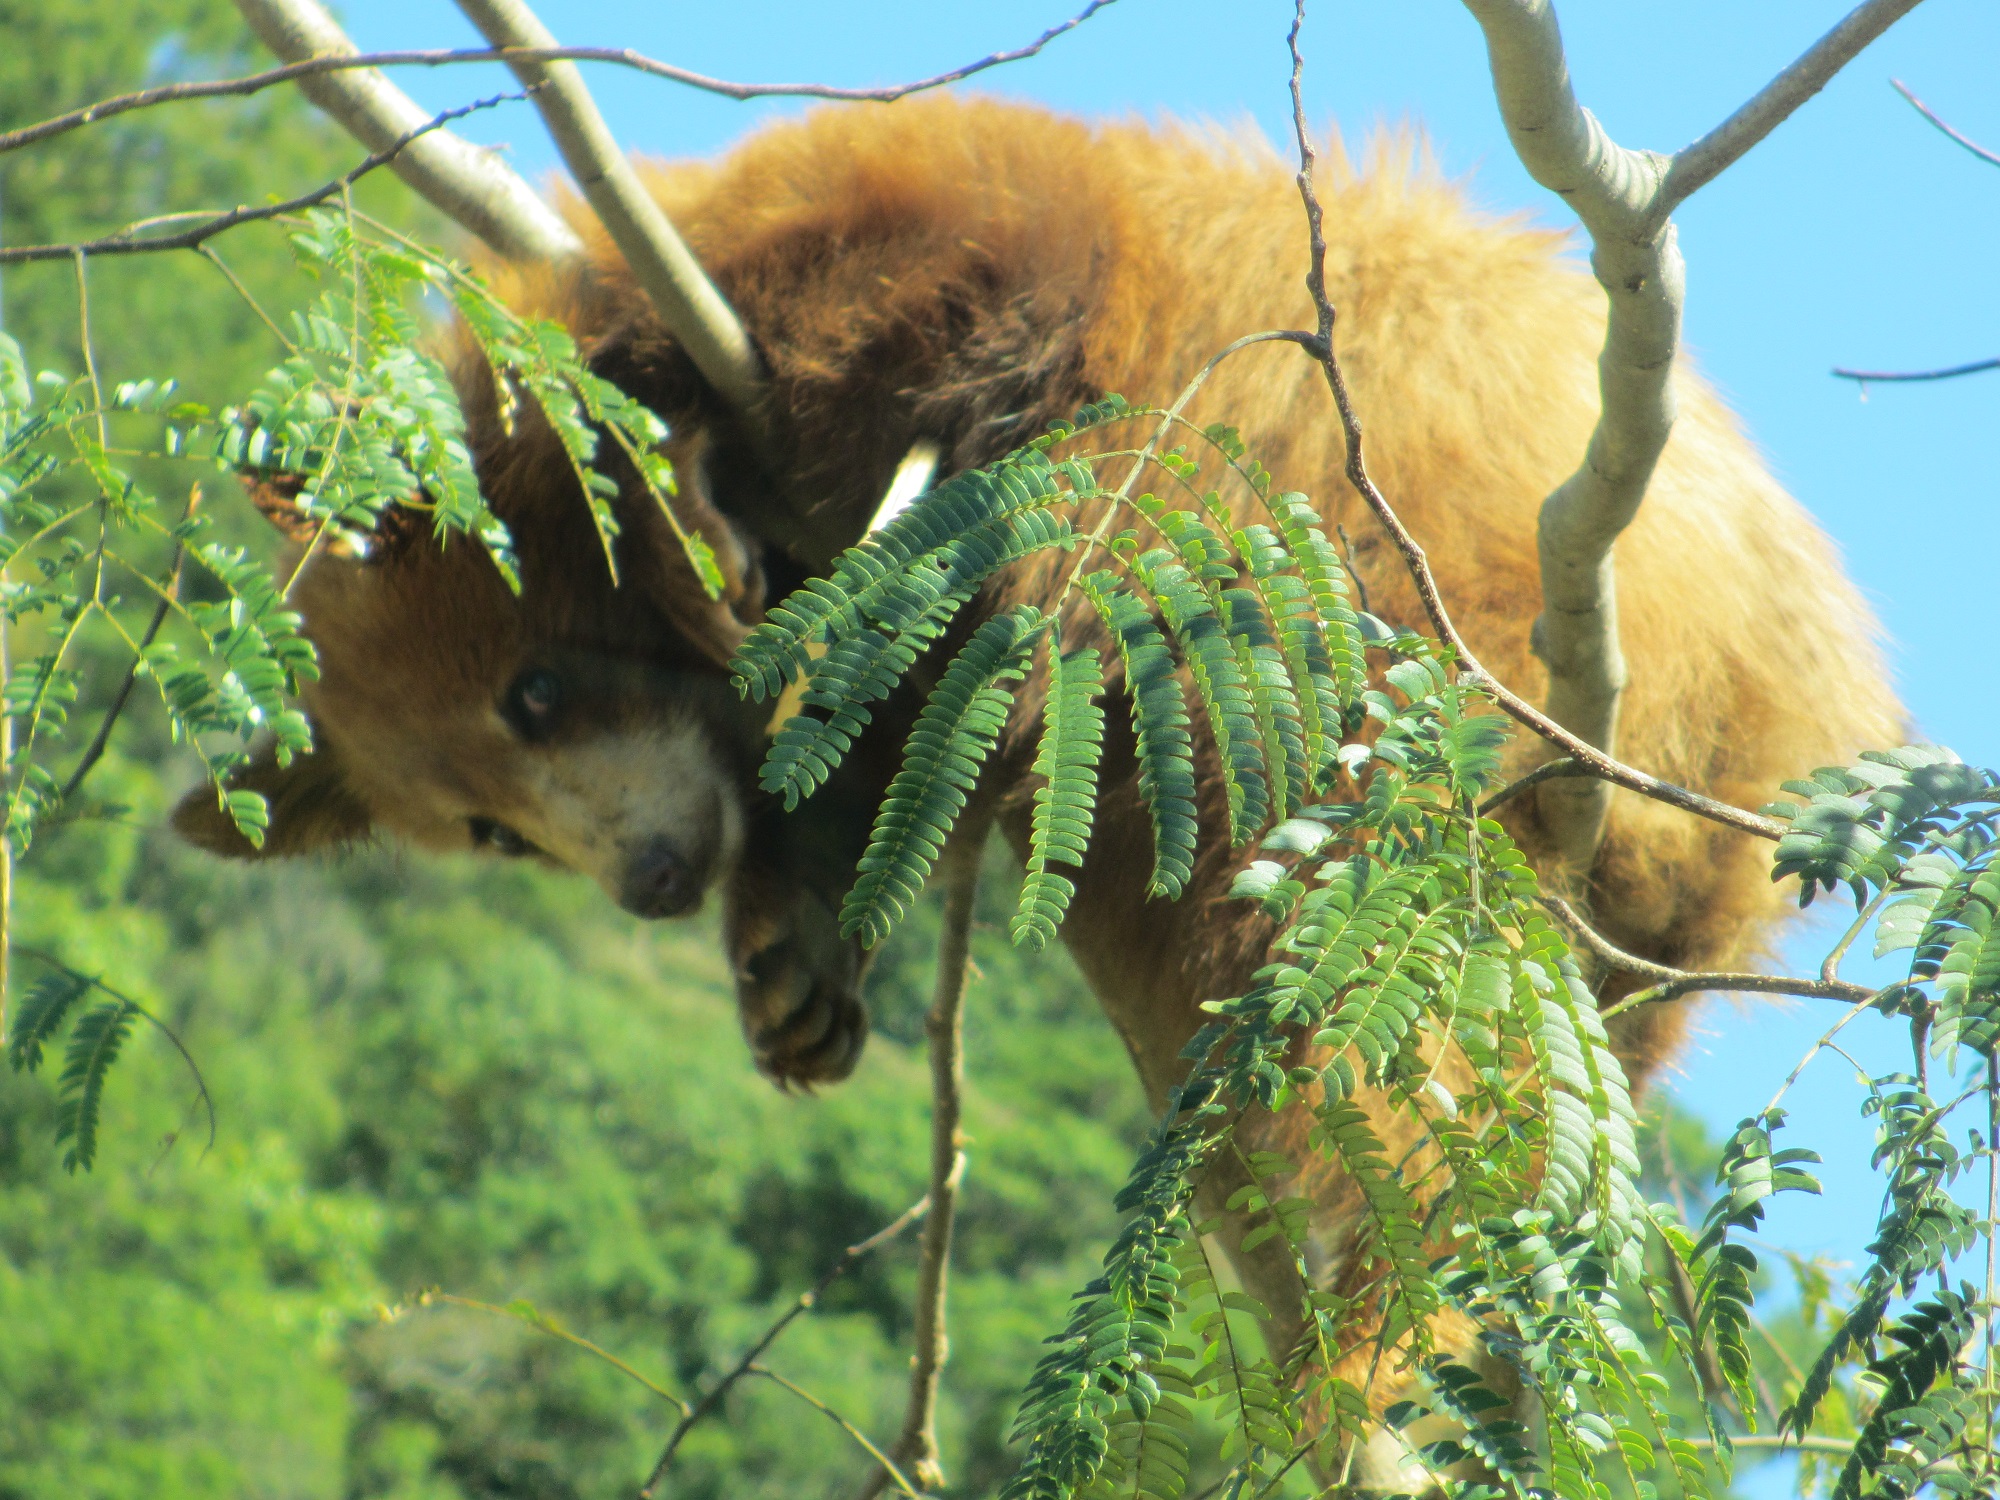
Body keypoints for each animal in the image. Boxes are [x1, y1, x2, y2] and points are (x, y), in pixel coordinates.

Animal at [168, 94, 1888, 1480]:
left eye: (531, 691)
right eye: (483, 833)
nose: (652, 880)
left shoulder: (934, 249)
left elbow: (956, 261)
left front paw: (701, 526)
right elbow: (888, 750)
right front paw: (791, 949)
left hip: (1416, 654)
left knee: (1369, 1036)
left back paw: (1381, 1333)